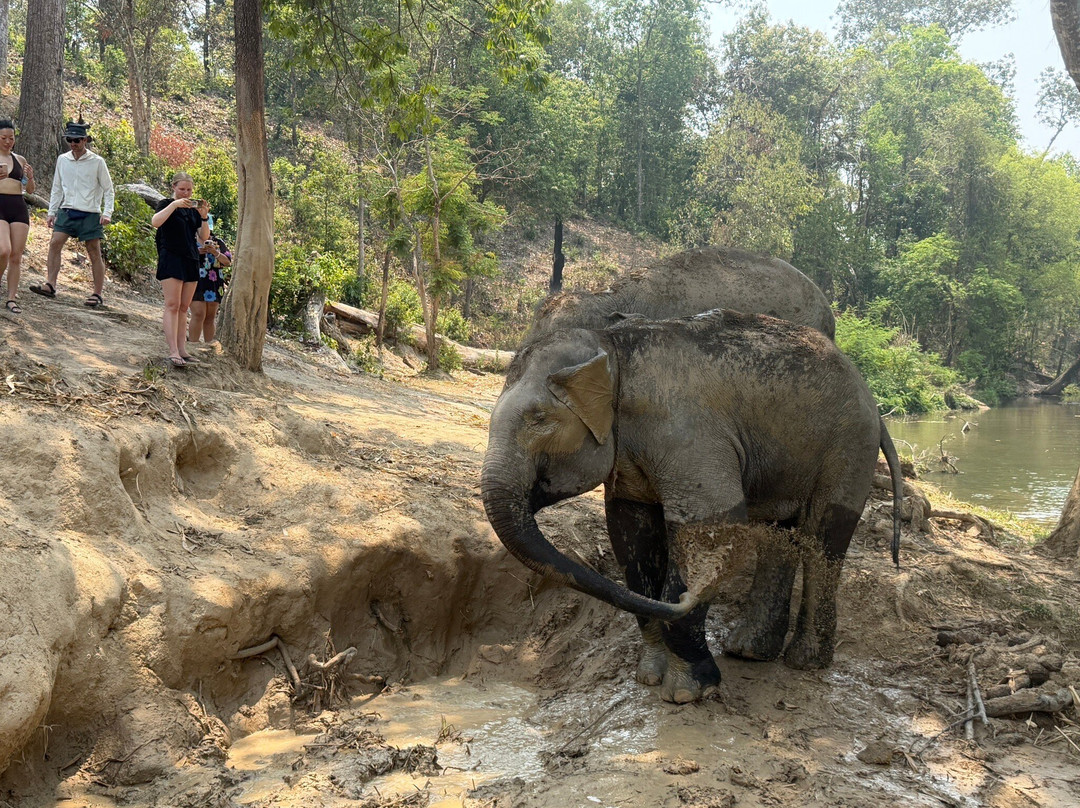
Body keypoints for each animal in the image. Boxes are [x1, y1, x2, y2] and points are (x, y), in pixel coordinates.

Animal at [482, 310, 883, 703]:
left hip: (851, 444)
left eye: (538, 419)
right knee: (779, 531)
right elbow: (631, 534)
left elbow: (714, 522)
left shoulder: (687, 434)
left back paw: (805, 661)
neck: (611, 345)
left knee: (823, 535)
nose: (693, 593)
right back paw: (750, 651)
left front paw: (687, 692)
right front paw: (649, 676)